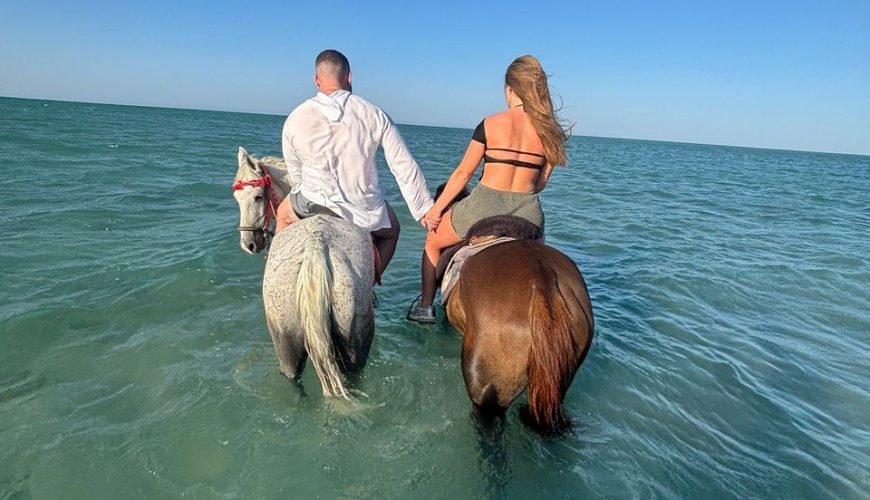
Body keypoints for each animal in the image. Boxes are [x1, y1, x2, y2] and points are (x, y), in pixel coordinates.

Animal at [231, 147, 375, 399]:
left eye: (258, 197)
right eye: (237, 199)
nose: (249, 244)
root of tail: (316, 245)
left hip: (286, 338)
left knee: (293, 378)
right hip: (353, 344)